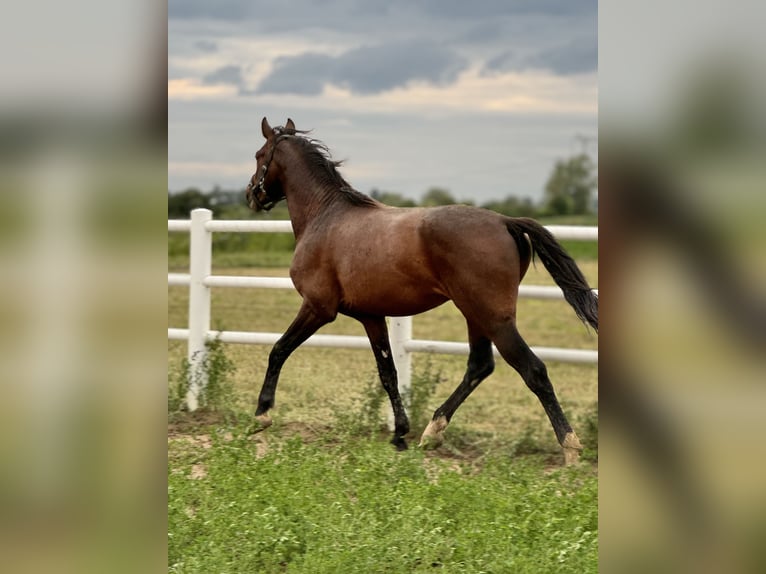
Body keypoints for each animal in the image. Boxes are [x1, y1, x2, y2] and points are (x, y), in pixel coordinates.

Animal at [246, 117, 598, 464]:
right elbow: (388, 372)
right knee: (480, 365)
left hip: (493, 318)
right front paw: (400, 434)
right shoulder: (371, 317)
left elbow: (279, 349)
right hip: (475, 314)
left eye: (260, 155)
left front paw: (261, 417)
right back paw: (432, 432)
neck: (325, 216)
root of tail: (505, 222)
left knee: (532, 370)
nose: (251, 195)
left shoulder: (318, 307)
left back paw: (570, 447)